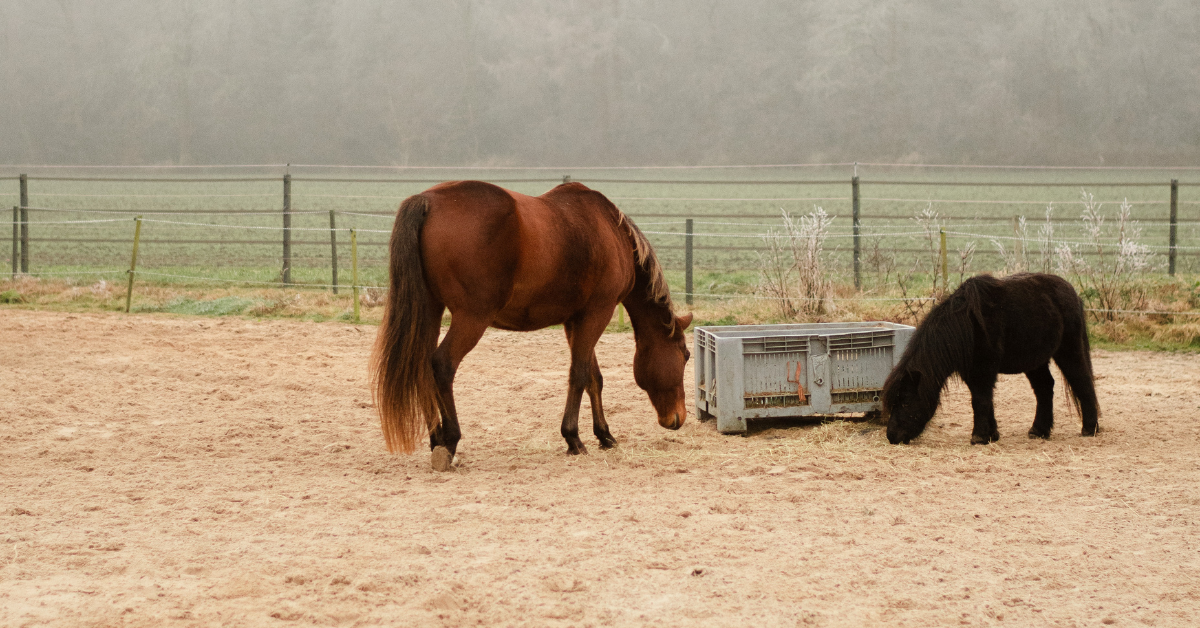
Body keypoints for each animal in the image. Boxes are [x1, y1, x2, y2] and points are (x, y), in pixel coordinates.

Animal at [370, 180, 692, 464]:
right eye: (686, 355)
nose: (677, 418)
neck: (612, 231)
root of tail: (428, 200)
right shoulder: (596, 314)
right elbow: (579, 374)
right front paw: (573, 438)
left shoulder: (574, 321)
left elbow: (593, 378)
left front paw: (604, 435)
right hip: (471, 319)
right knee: (441, 365)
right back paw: (449, 441)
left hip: (430, 310)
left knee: (420, 366)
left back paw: (435, 437)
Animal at [882, 273, 1100, 445]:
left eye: (906, 401)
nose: (892, 436)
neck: (967, 326)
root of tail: (1071, 292)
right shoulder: (973, 373)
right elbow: (985, 400)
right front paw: (991, 435)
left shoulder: (983, 371)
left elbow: (979, 401)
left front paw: (978, 437)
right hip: (1035, 361)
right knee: (1044, 388)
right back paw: (1039, 431)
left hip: (1068, 351)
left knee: (1081, 381)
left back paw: (1090, 428)